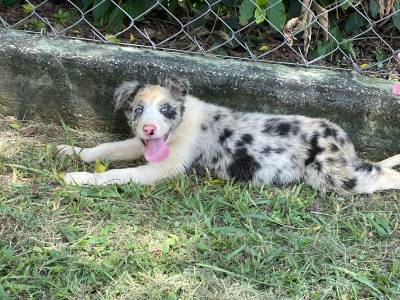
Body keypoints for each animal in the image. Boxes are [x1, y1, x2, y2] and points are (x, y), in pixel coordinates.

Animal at [57, 77, 400, 195]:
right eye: (138, 109)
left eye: (166, 110)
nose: (149, 129)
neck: (182, 124)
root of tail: (341, 138)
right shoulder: (140, 145)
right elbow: (108, 148)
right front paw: (72, 152)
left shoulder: (161, 168)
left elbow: (114, 174)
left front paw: (78, 178)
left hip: (332, 174)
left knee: (381, 175)